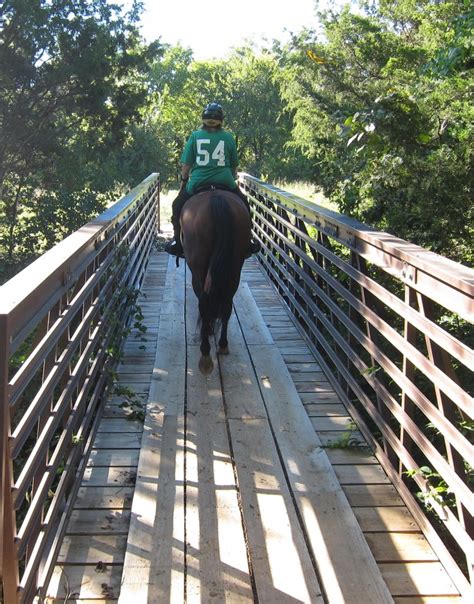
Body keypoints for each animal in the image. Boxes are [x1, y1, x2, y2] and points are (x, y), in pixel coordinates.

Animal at [180, 189, 250, 372]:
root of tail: (217, 199)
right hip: (235, 267)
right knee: (226, 304)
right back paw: (223, 344)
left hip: (198, 267)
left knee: (204, 303)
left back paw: (205, 353)